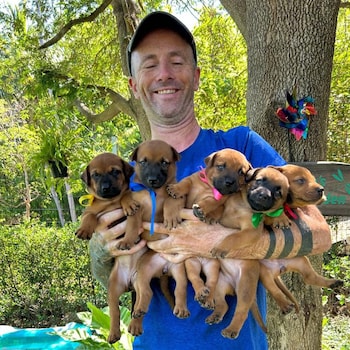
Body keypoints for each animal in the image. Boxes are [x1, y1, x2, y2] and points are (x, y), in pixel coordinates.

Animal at [258, 164, 342, 314]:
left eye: (313, 179)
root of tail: (279, 268)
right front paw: (281, 217)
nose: (321, 190)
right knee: (274, 290)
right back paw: (285, 306)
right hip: (264, 273)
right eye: (300, 180)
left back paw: (333, 283)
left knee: (310, 278)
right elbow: (272, 211)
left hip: (302, 261)